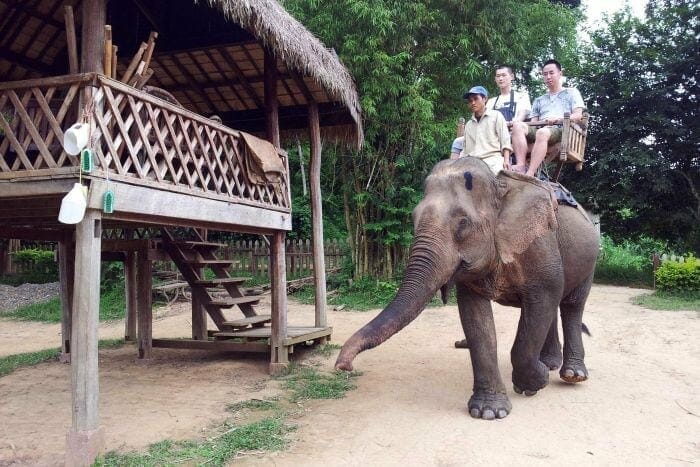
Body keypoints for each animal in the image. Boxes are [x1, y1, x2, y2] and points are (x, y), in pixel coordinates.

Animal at [335, 157, 599, 420]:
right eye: (413, 218)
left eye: (463, 223)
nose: (343, 365)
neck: (499, 187)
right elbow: (476, 319)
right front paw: (489, 411)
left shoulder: (539, 246)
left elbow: (541, 300)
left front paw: (533, 383)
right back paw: (550, 363)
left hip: (591, 257)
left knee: (571, 306)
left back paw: (572, 375)